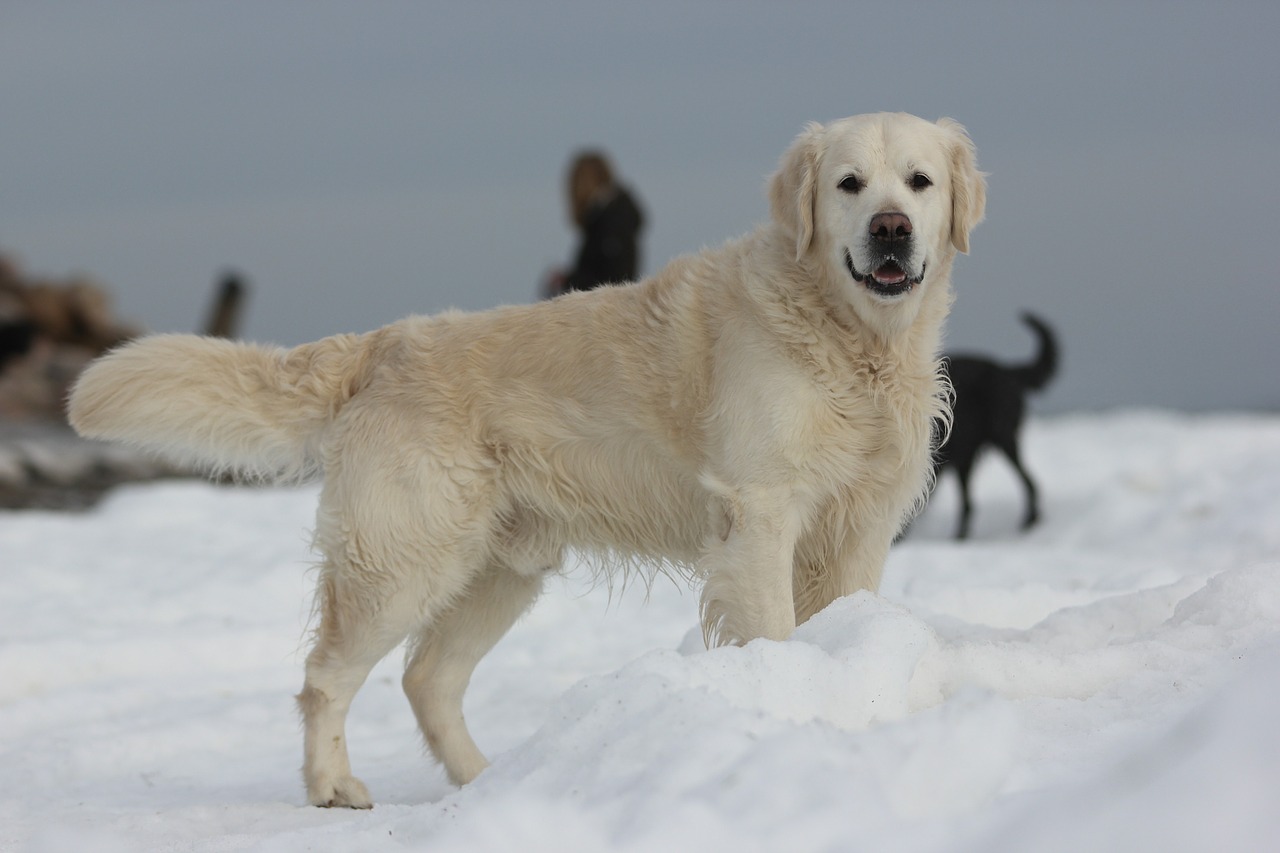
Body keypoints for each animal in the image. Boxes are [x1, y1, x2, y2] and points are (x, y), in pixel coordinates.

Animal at [70, 112, 983, 804]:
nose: (891, 231)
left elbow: (845, 617)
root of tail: (382, 343)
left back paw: (484, 780)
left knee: (428, 679)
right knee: (326, 674)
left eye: (919, 182)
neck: (849, 340)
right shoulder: (759, 512)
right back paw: (334, 785)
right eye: (849, 184)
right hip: (401, 561)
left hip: (499, 568)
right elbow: (777, 631)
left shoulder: (861, 523)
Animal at [931, 312, 1059, 537]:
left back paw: (1029, 522)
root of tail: (1009, 371)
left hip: (1003, 438)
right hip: (967, 457)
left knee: (1030, 483)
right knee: (969, 505)